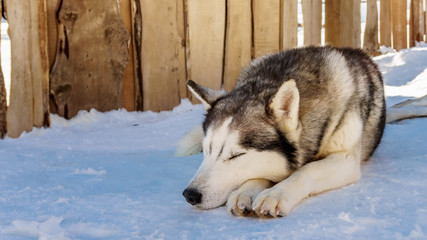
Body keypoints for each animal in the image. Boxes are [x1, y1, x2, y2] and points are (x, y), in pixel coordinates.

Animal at [179, 46, 386, 218]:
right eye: (207, 151)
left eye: (236, 155)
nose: (190, 195)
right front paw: (246, 191)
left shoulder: (346, 159)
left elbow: (307, 170)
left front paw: (276, 193)